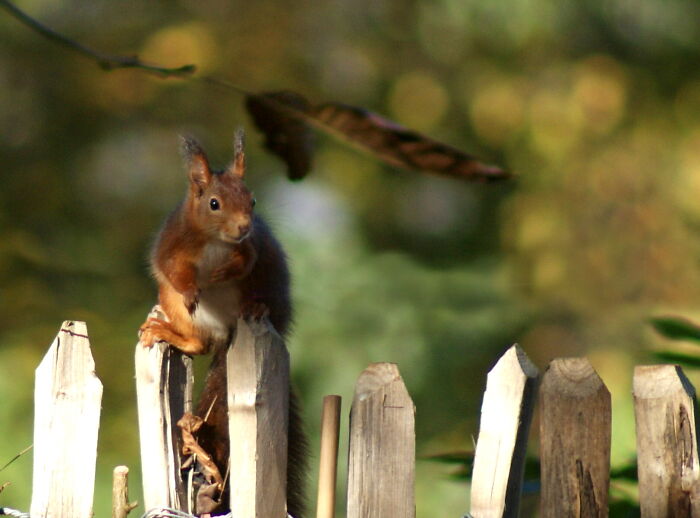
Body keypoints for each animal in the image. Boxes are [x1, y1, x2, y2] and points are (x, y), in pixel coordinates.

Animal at [139, 131, 307, 517]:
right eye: (214, 203)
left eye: (253, 200)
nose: (244, 227)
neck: (216, 242)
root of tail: (228, 333)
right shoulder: (171, 247)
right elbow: (174, 271)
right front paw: (193, 289)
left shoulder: (251, 250)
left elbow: (244, 263)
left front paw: (222, 273)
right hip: (172, 304)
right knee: (197, 342)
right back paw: (166, 329)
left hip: (267, 291)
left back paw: (255, 306)